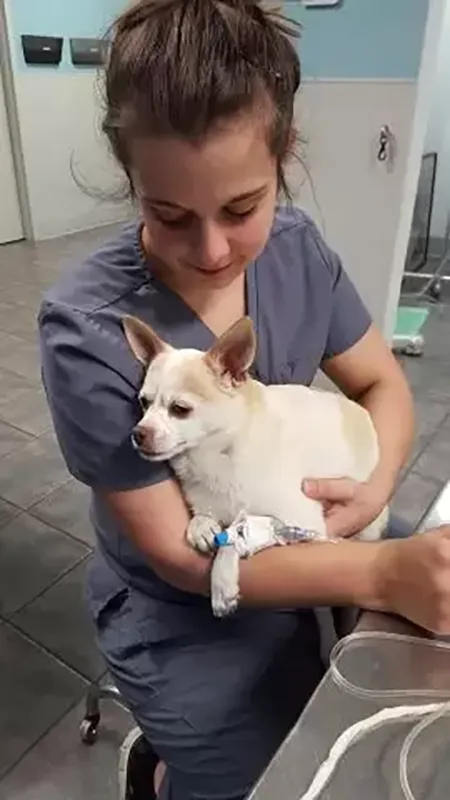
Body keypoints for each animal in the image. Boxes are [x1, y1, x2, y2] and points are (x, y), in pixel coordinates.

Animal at [124, 316, 390, 560]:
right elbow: (203, 516)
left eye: (180, 409)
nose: (138, 433)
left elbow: (267, 525)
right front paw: (201, 525)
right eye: (143, 403)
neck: (217, 457)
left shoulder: (302, 520)